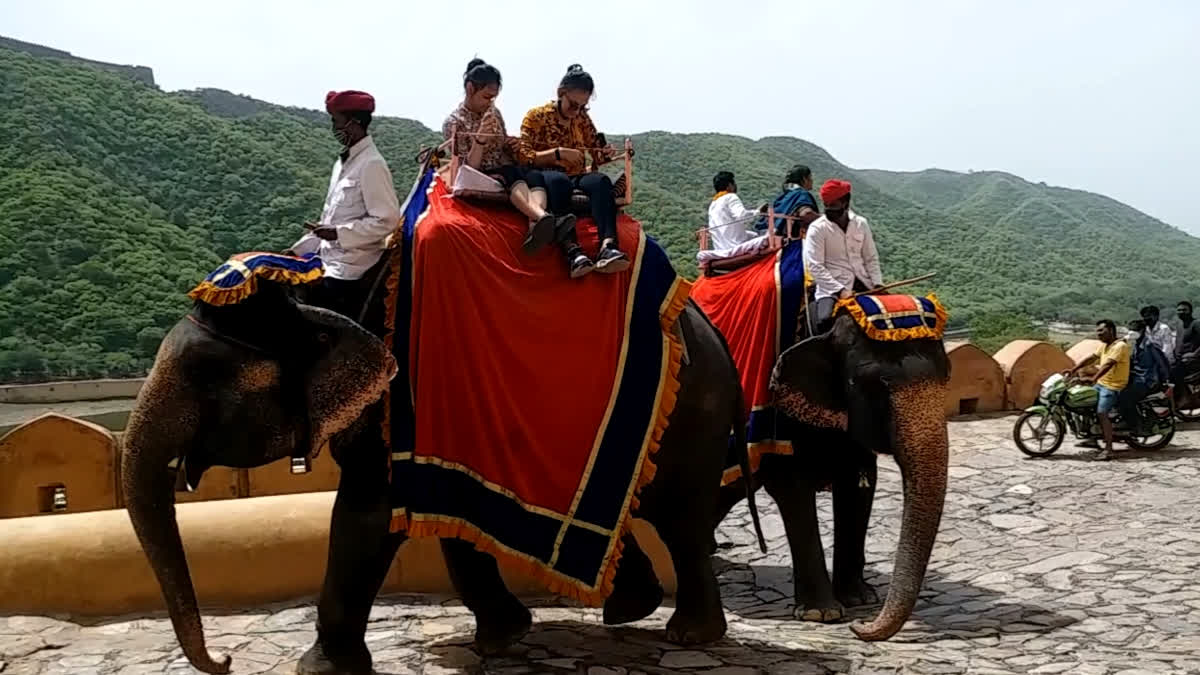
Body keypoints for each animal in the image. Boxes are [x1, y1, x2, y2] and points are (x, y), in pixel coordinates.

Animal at [122, 274, 764, 674]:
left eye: (204, 377)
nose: (225, 662)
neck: (318, 295)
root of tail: (714, 330)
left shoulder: (402, 398)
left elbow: (368, 514)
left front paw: (320, 667)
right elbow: (448, 513)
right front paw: (504, 637)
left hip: (691, 412)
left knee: (679, 518)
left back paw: (688, 635)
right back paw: (630, 609)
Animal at [712, 309, 950, 642]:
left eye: (948, 376)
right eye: (878, 384)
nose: (859, 627)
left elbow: (858, 485)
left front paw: (859, 599)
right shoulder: (779, 414)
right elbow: (791, 488)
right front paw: (822, 614)